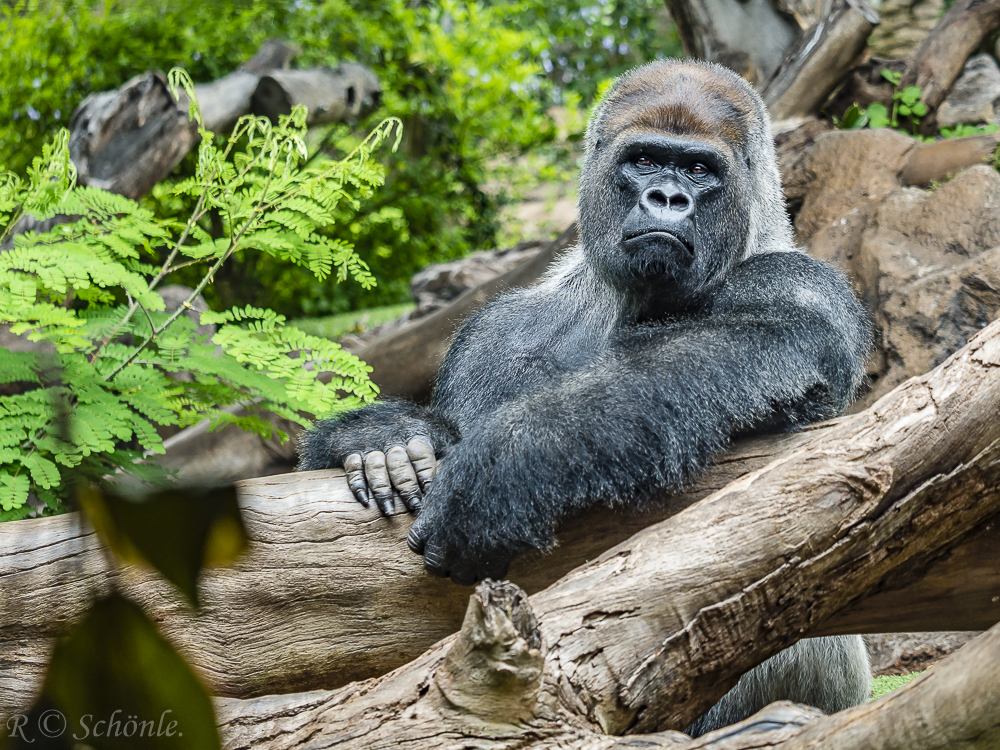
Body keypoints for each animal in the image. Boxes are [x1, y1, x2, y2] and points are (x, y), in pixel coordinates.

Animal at [298, 60, 876, 740]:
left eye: (699, 170)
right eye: (645, 160)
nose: (667, 199)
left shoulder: (801, 284)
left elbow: (741, 350)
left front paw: (507, 466)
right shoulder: (499, 330)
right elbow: (453, 419)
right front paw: (379, 440)